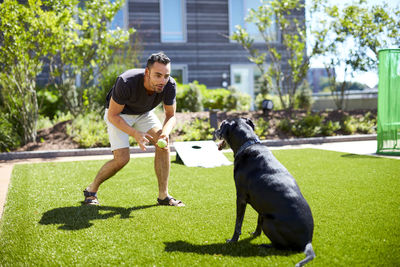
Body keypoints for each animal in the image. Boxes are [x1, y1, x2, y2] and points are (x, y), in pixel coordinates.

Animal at [216, 118, 316, 266]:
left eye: (222, 125)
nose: (215, 131)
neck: (248, 143)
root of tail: (307, 242)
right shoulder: (260, 203)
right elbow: (258, 219)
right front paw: (255, 234)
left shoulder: (240, 197)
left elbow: (238, 223)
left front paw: (233, 240)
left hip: (269, 223)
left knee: (282, 247)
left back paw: (266, 245)